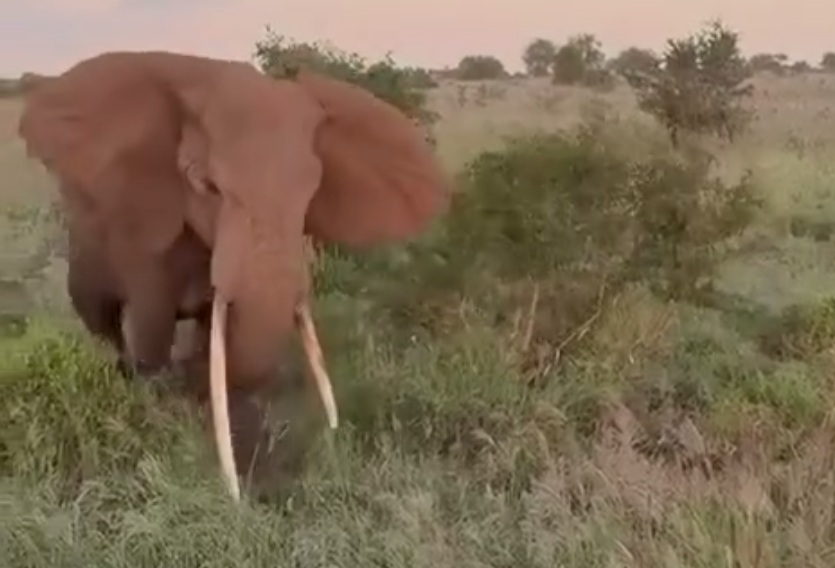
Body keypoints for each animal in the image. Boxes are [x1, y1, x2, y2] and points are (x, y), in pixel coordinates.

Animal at [18, 50, 451, 499]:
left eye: (312, 189)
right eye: (205, 184)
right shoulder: (145, 235)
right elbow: (153, 330)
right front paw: (165, 413)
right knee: (101, 318)